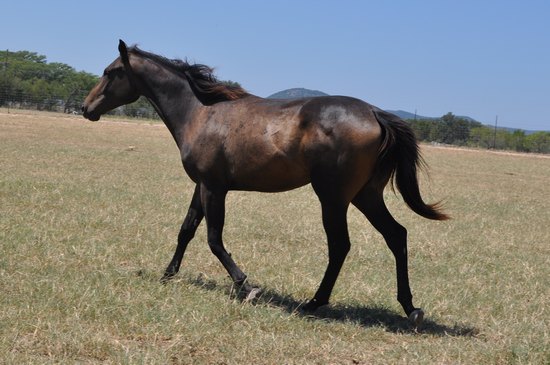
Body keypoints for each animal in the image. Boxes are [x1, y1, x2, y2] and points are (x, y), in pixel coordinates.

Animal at [84, 40, 450, 328]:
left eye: (110, 71)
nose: (87, 108)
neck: (201, 113)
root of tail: (375, 113)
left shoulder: (214, 188)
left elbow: (214, 239)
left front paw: (247, 287)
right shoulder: (201, 186)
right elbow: (186, 230)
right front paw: (168, 274)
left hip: (333, 198)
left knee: (340, 246)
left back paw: (314, 303)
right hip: (365, 195)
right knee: (396, 235)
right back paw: (410, 307)